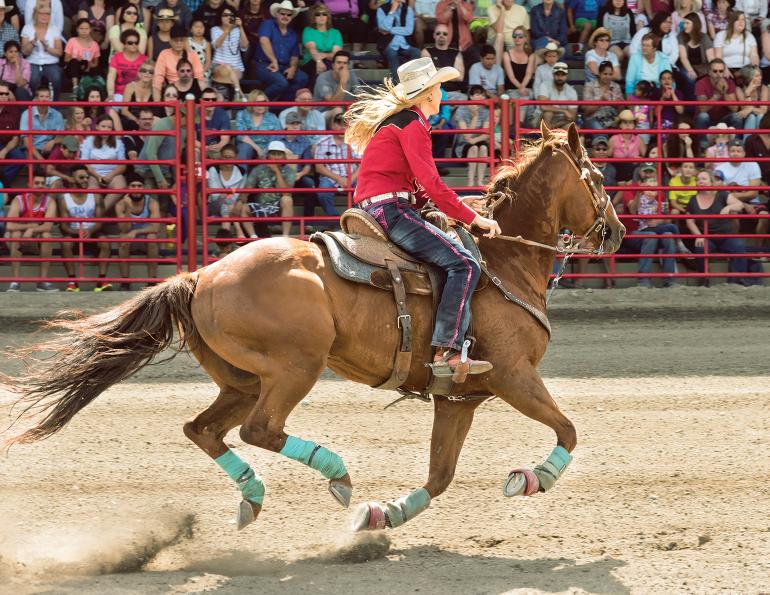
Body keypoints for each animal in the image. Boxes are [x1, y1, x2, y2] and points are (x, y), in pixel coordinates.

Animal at [2, 122, 625, 532]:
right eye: (595, 175)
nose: (617, 232)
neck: (501, 259)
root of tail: (201, 275)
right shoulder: (514, 376)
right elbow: (568, 430)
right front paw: (531, 478)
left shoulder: (459, 398)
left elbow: (441, 473)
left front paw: (384, 513)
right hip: (295, 367)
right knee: (260, 430)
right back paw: (337, 473)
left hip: (242, 379)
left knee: (203, 430)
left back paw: (253, 496)